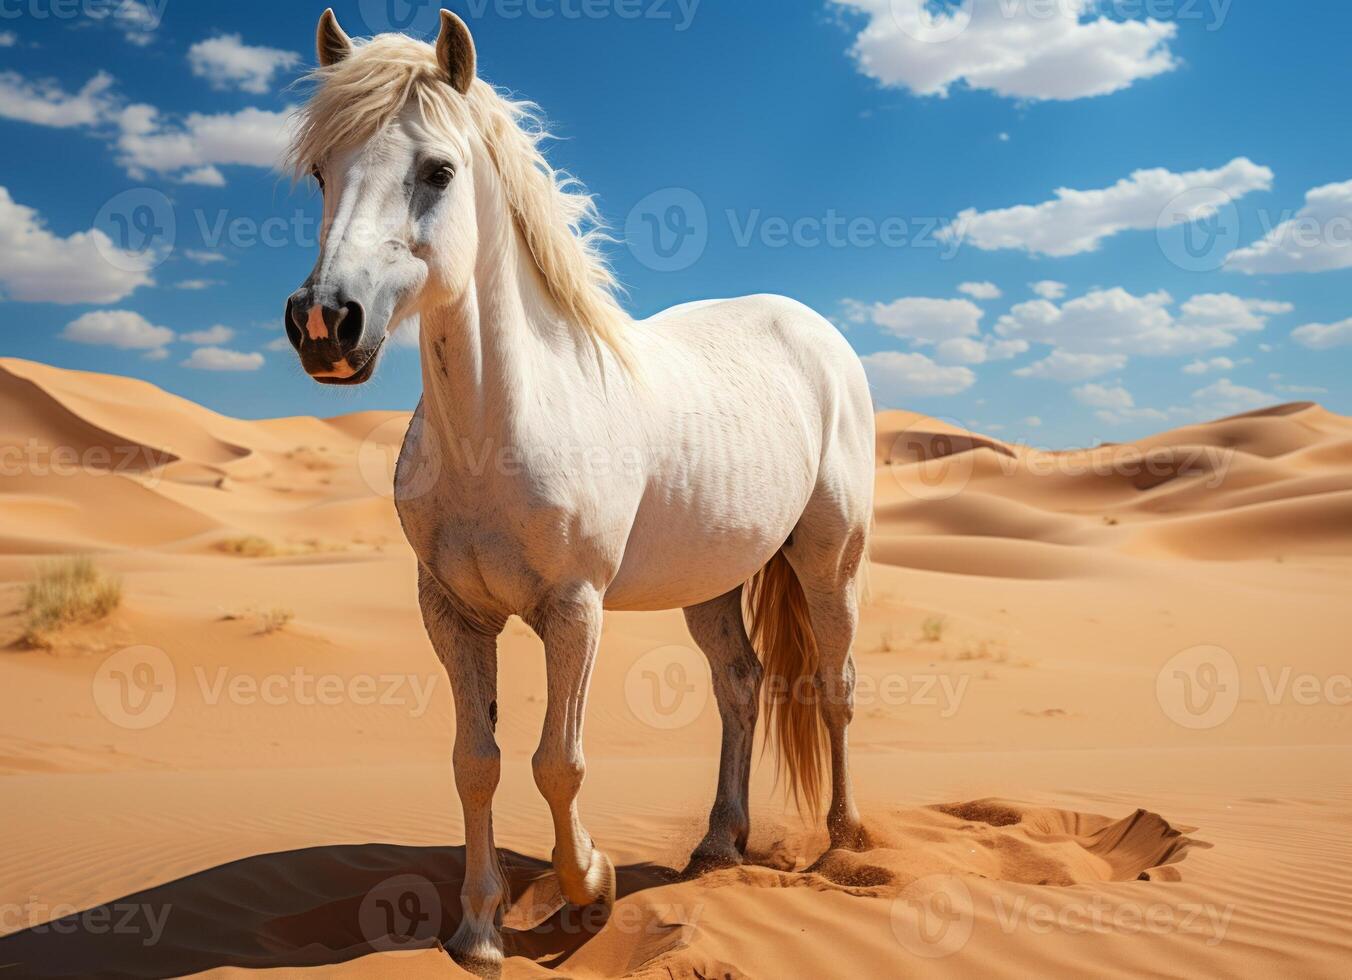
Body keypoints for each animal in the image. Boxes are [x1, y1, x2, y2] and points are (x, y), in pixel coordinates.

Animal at [285, 9, 876, 973]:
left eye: (438, 170)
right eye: (320, 173)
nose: (325, 324)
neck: (497, 428)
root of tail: (816, 329)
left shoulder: (574, 611)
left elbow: (556, 763)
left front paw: (589, 885)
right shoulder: (451, 613)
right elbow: (476, 761)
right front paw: (480, 931)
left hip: (831, 559)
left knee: (834, 683)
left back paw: (845, 841)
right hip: (711, 581)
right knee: (741, 685)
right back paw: (720, 843)